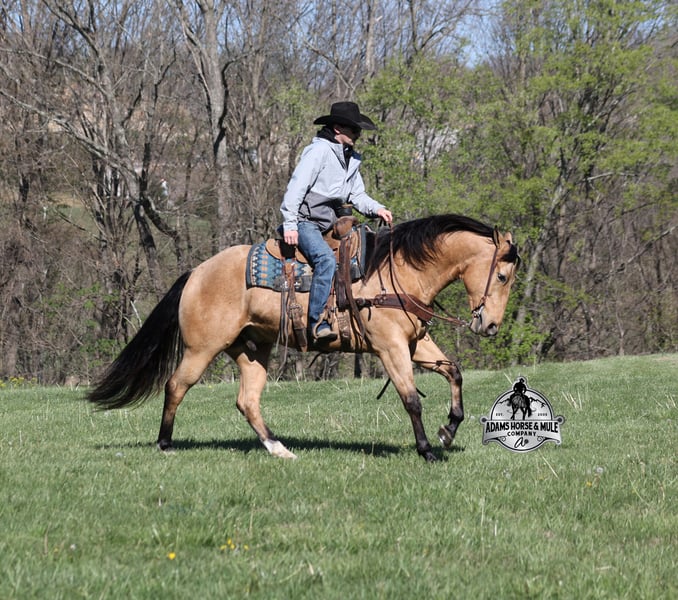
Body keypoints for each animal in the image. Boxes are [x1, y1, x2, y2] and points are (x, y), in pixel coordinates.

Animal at [88, 214, 520, 462]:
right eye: (502, 276)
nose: (490, 326)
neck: (397, 271)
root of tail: (196, 272)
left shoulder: (416, 344)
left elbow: (454, 372)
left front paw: (449, 430)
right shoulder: (390, 346)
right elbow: (411, 398)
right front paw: (428, 450)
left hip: (253, 350)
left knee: (247, 401)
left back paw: (279, 449)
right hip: (201, 348)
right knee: (177, 385)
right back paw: (164, 444)